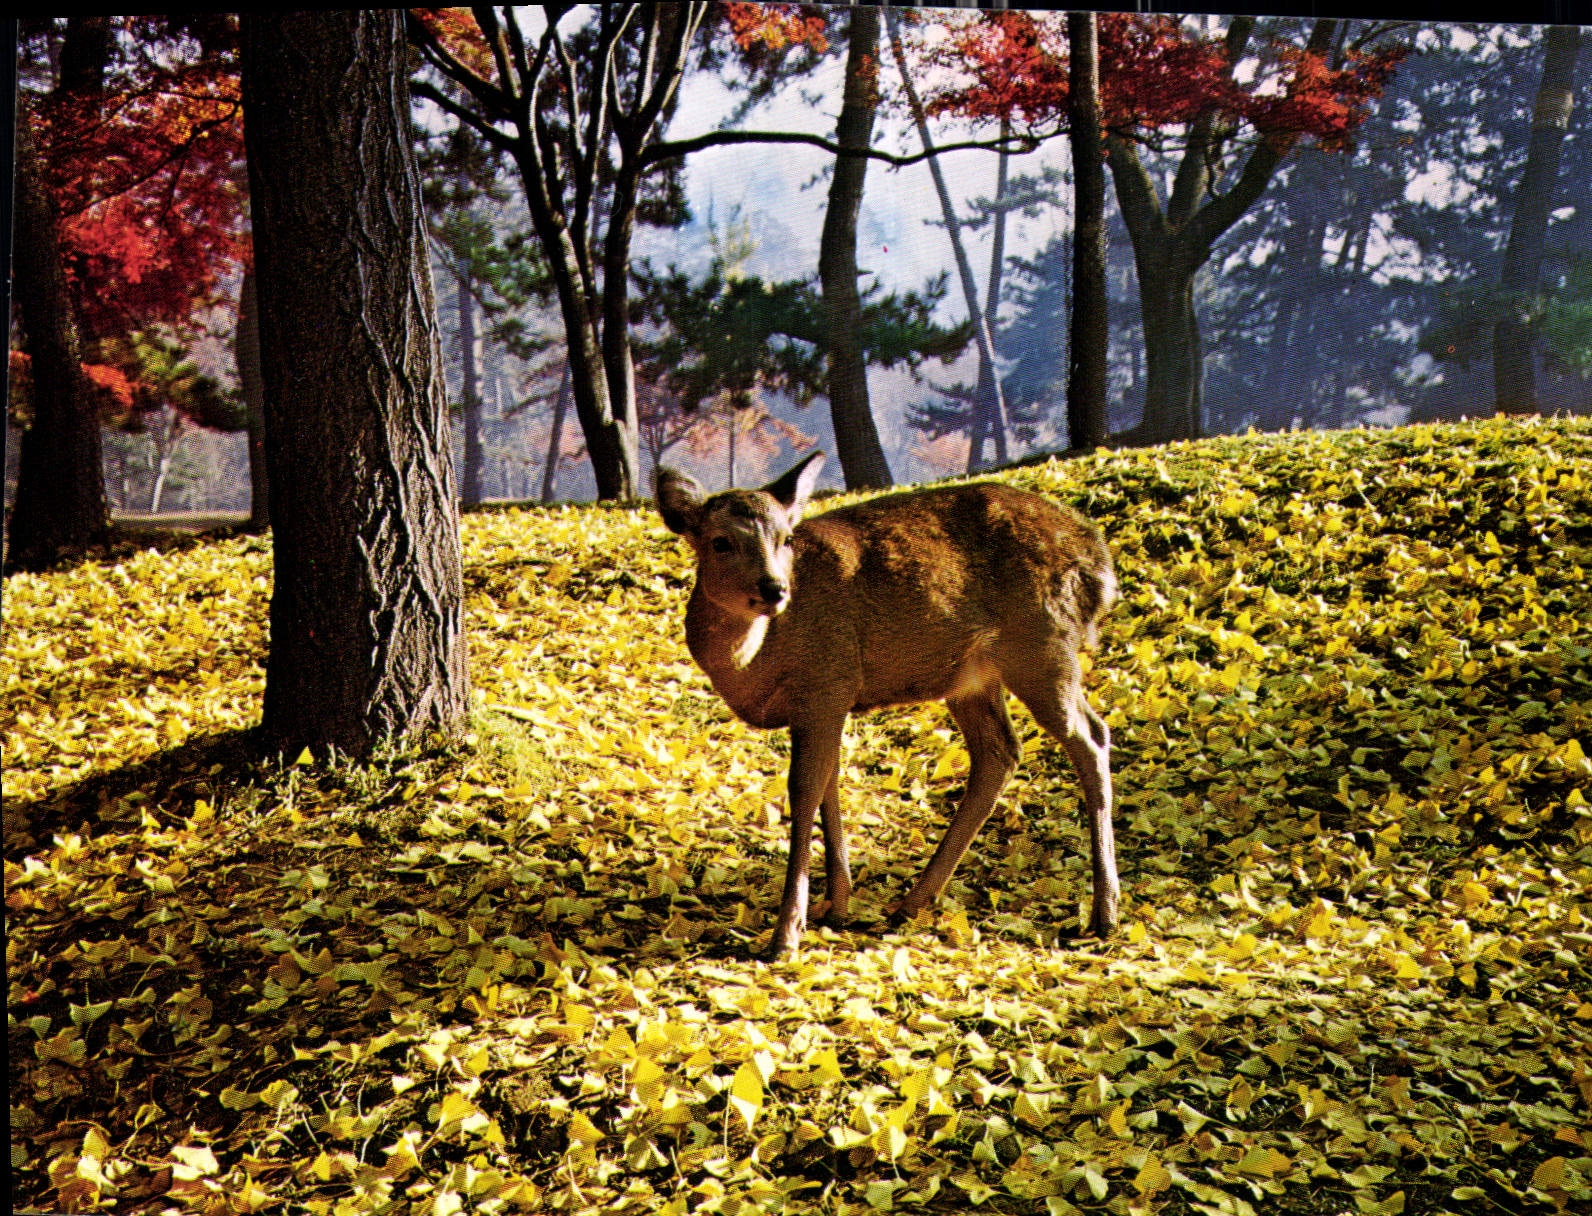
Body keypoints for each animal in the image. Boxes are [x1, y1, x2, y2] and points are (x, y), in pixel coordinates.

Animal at [656, 450, 1119, 960]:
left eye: (786, 538)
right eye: (720, 542)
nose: (775, 589)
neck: (753, 663)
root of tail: (1099, 563)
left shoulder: (827, 681)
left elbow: (804, 790)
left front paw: (787, 933)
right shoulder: (825, 703)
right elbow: (829, 785)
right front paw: (836, 904)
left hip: (1041, 644)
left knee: (1092, 737)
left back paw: (1104, 914)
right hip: (972, 677)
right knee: (1000, 752)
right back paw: (913, 901)